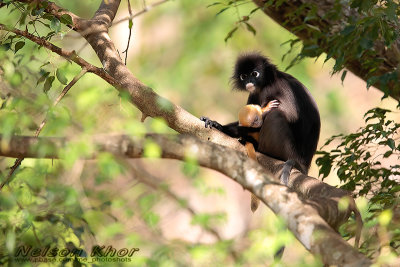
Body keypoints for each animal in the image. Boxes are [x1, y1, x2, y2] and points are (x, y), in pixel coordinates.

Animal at [202, 52, 320, 186]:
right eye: (244, 76)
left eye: (254, 74)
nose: (249, 81)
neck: (265, 84)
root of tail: (304, 165)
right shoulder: (254, 93)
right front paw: (218, 125)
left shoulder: (279, 87)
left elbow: (291, 115)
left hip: (289, 151)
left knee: (276, 115)